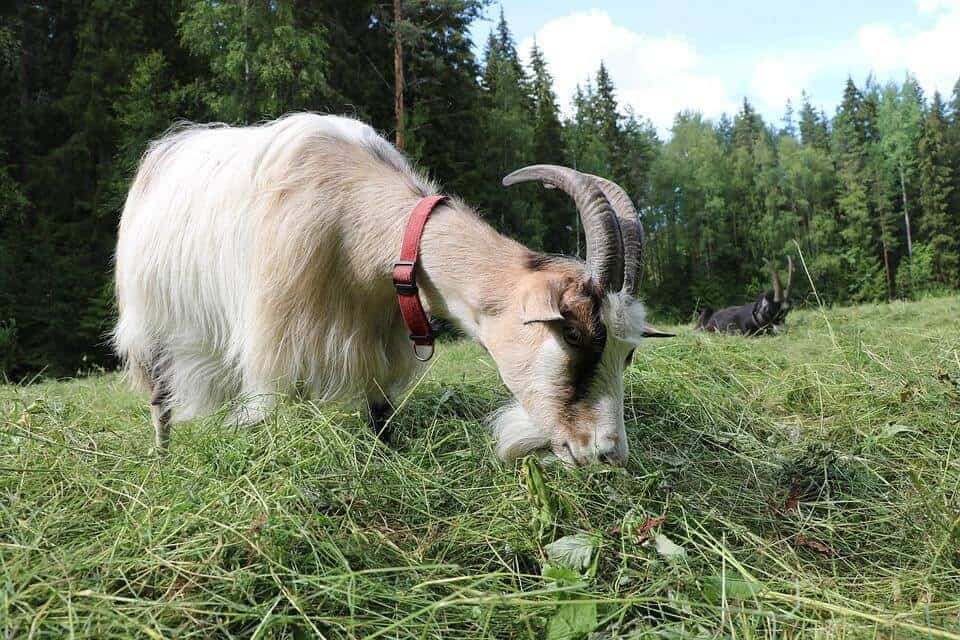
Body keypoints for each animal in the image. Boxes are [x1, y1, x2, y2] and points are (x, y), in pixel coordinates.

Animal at [114, 113, 669, 466]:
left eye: (628, 353)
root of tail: (164, 152)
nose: (608, 454)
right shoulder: (279, 342)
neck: (356, 223)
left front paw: (389, 458)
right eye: (573, 335)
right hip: (150, 325)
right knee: (161, 400)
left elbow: (381, 413)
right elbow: (269, 412)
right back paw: (162, 457)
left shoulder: (380, 335)